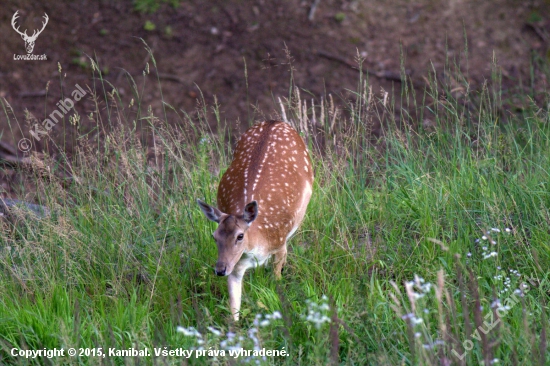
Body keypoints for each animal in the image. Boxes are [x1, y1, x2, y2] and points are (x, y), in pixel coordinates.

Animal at [197, 120, 314, 320]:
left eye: (240, 236)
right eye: (214, 236)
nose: (220, 270)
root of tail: (274, 122)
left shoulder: (279, 243)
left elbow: (277, 280)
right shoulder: (236, 265)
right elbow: (234, 308)